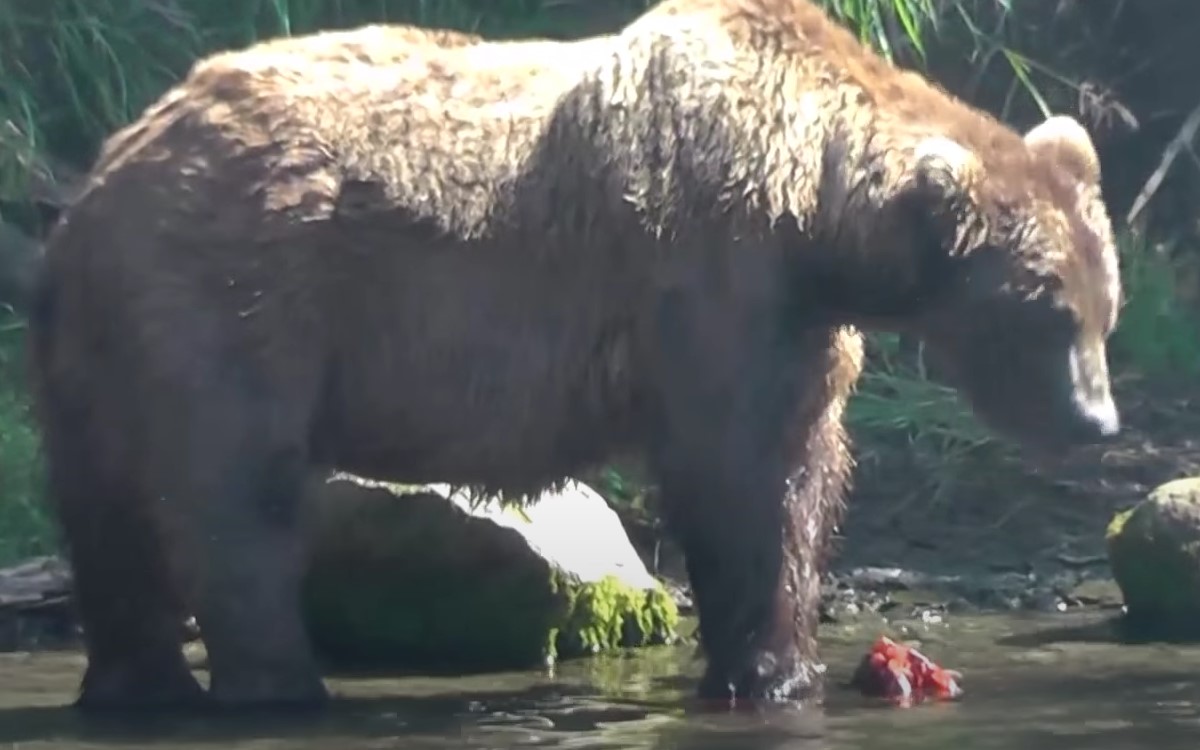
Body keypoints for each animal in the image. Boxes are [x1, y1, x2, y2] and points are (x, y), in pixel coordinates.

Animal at [30, 0, 1123, 705]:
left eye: (1103, 307)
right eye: (1047, 312)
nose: (1099, 419)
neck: (818, 210)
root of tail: (105, 173)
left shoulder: (799, 318)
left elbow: (802, 471)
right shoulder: (714, 281)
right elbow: (741, 475)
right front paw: (767, 671)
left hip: (99, 344)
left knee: (105, 508)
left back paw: (136, 684)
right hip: (228, 299)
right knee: (233, 492)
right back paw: (281, 684)